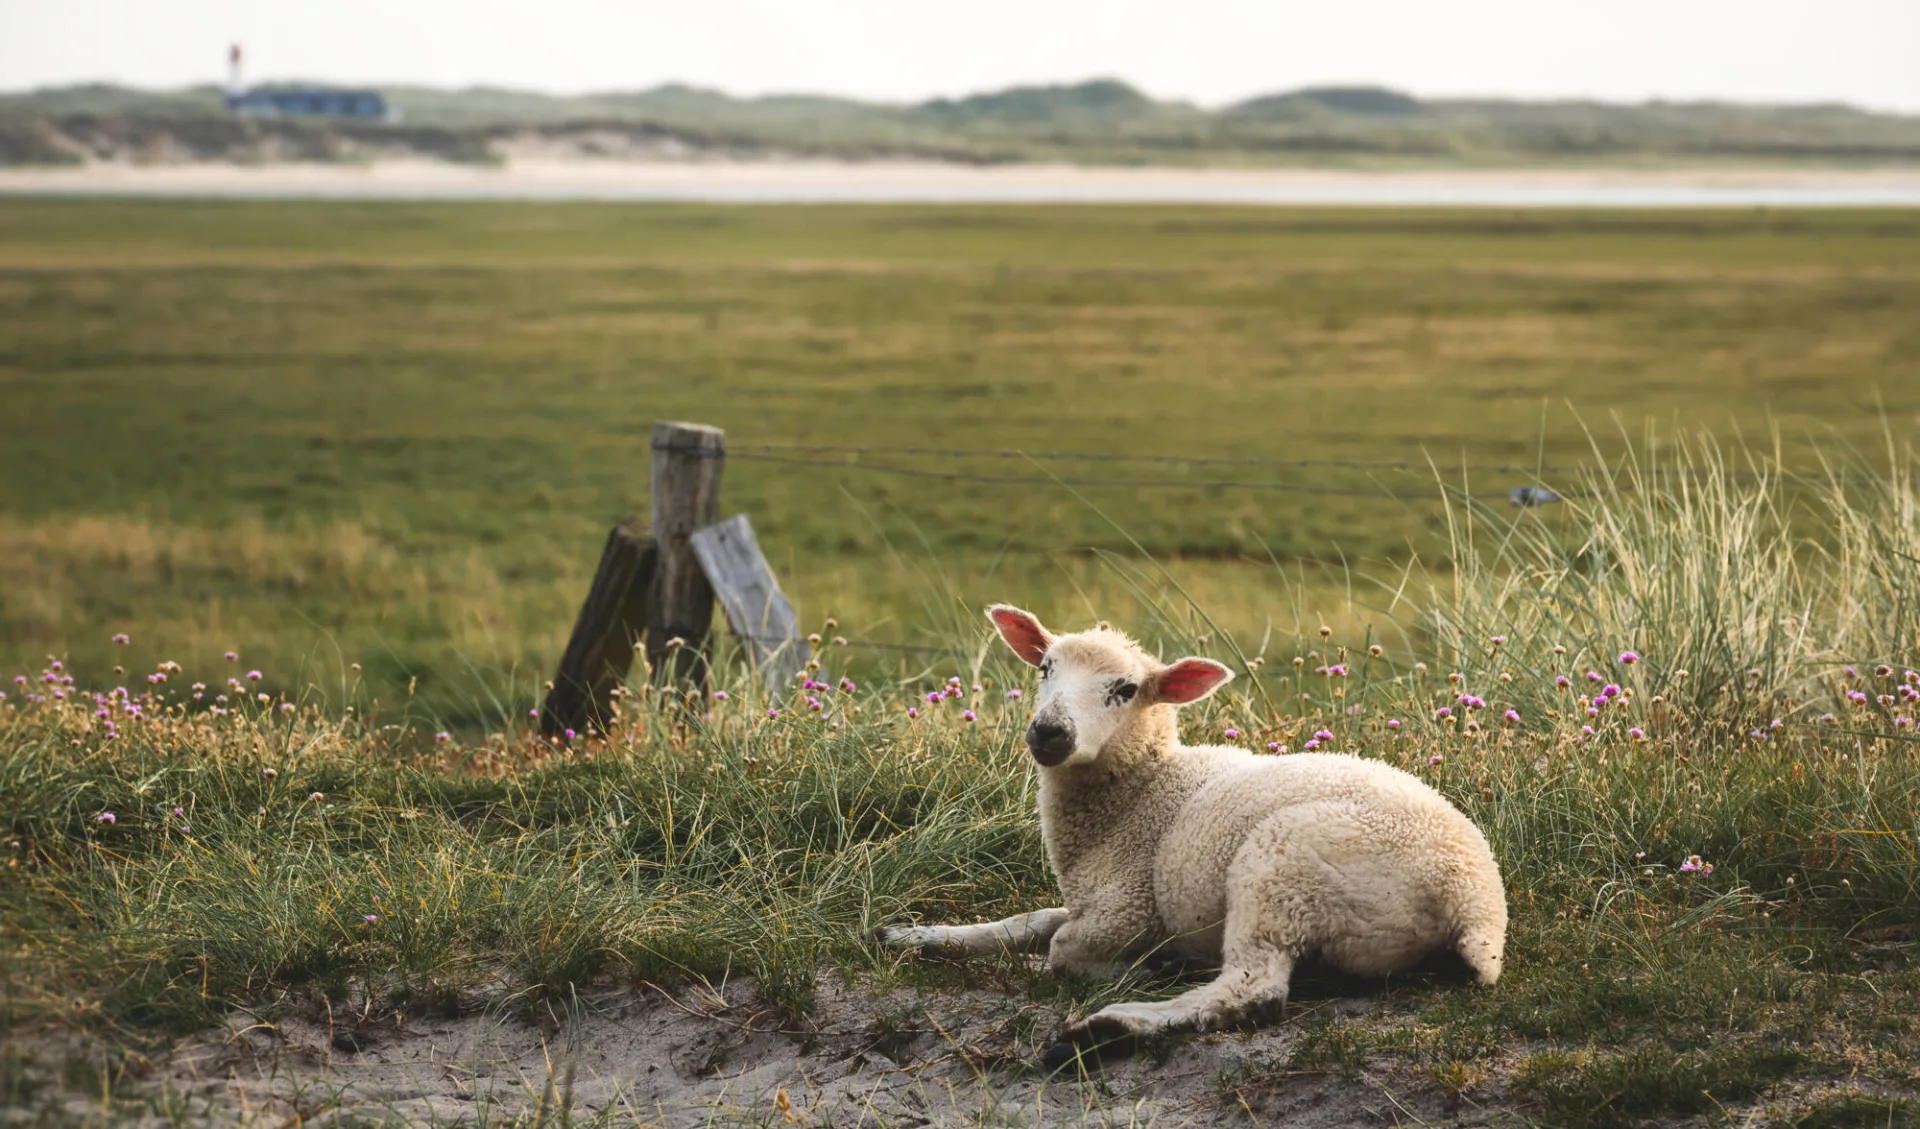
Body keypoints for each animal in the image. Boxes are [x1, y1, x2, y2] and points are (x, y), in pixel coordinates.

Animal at [875, 606, 1512, 1059]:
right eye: (1044, 668)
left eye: (1125, 689)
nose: (1049, 731)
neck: (1142, 791)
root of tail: (1477, 905)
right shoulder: (1090, 899)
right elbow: (1027, 922)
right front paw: (916, 935)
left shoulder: (1128, 909)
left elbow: (1060, 950)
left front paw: (1122, 970)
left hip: (1284, 869)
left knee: (1255, 990)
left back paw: (1115, 1025)